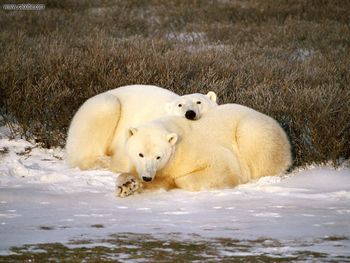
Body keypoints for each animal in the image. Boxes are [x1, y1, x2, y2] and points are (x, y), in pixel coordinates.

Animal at [116, 104, 292, 197]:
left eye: (158, 156)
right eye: (140, 154)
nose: (147, 177)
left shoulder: (194, 150)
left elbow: (223, 166)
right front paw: (127, 186)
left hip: (254, 131)